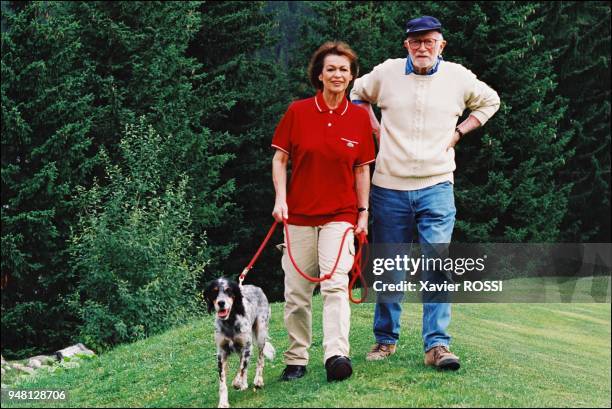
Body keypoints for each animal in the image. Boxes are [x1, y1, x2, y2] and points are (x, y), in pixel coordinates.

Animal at [203, 276, 274, 406]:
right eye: (215, 291)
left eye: (228, 290)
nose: (221, 303)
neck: (230, 322)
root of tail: (256, 287)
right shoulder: (222, 352)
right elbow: (223, 382)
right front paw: (223, 403)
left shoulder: (247, 346)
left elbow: (241, 369)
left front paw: (237, 383)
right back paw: (244, 384)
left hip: (261, 334)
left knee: (260, 359)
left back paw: (258, 380)